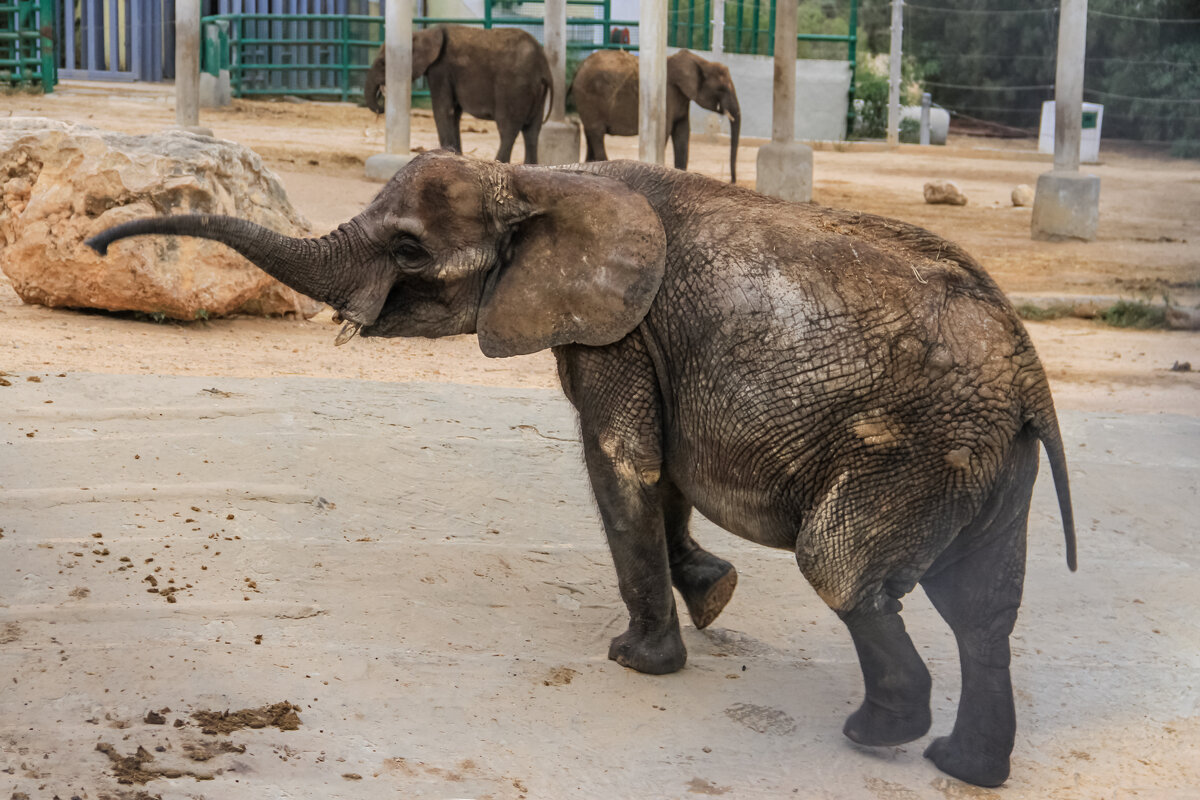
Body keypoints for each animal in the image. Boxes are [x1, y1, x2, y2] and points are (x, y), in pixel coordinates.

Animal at [87, 151, 1080, 786]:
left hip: (918, 446)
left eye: (409, 249)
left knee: (843, 569)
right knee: (983, 609)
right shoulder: (631, 336)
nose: (98, 243)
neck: (541, 179)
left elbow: (623, 464)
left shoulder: (622, 333)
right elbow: (660, 472)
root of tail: (1032, 376)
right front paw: (713, 595)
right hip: (987, 458)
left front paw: (638, 663)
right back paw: (961, 766)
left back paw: (878, 733)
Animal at [364, 25, 552, 163]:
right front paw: (456, 157)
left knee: (508, 129)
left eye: (382, 63)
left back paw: (498, 163)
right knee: (532, 131)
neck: (424, 32)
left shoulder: (441, 69)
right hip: (536, 94)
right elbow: (454, 113)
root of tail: (543, 67)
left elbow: (443, 111)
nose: (381, 104)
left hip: (514, 88)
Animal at [568, 48, 739, 183]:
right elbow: (666, 131)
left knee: (590, 134)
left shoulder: (681, 97)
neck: (701, 62)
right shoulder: (668, 93)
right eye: (722, 89)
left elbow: (682, 133)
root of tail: (579, 67)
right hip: (589, 97)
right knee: (597, 134)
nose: (732, 180)